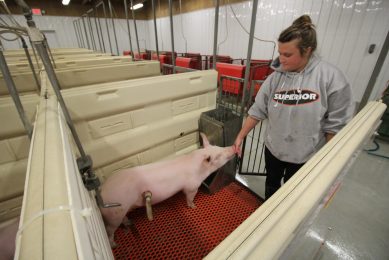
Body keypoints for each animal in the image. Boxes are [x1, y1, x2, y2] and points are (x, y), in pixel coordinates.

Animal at [98, 133, 235, 247]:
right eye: (218, 156)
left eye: (218, 146)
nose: (233, 147)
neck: (200, 168)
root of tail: (101, 193)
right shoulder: (192, 186)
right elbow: (189, 197)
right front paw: (194, 206)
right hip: (114, 214)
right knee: (110, 230)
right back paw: (114, 245)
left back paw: (129, 223)